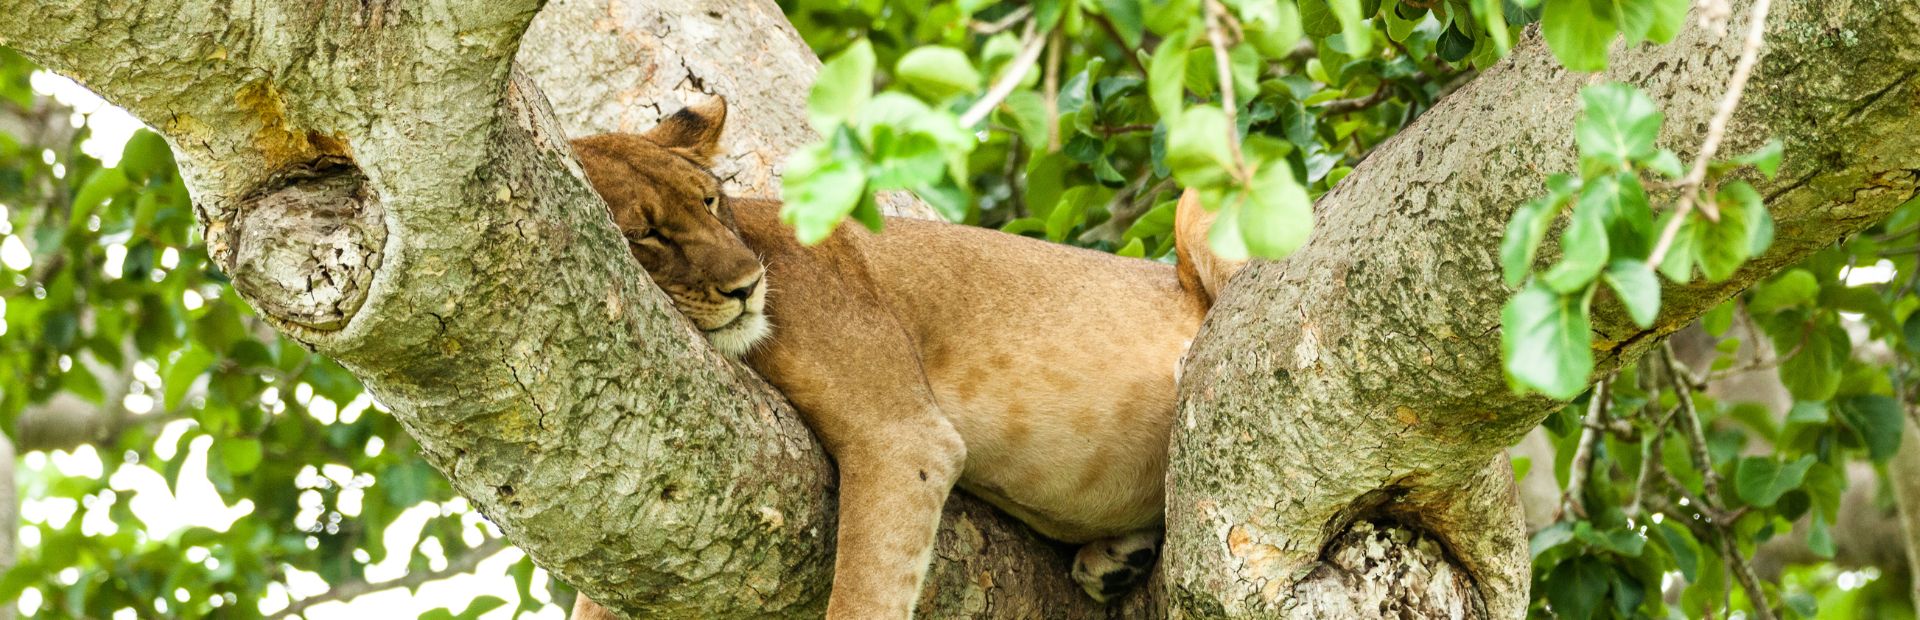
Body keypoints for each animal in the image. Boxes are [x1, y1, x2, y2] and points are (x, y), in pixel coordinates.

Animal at [567, 98, 1242, 619]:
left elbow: (863, 596)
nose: (748, 286)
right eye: (645, 235)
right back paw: (1118, 561)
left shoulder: (903, 435)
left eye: (708, 202)